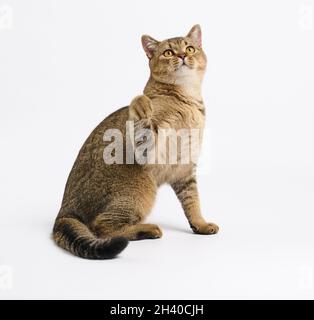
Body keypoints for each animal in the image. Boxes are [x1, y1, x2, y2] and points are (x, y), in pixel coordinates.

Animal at [52, 25, 218, 260]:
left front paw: (200, 225)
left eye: (190, 48)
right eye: (168, 52)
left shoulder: (185, 169)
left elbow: (192, 201)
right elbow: (145, 127)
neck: (186, 102)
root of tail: (64, 210)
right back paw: (147, 229)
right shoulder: (149, 151)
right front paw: (141, 105)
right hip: (143, 186)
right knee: (101, 226)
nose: (182, 56)